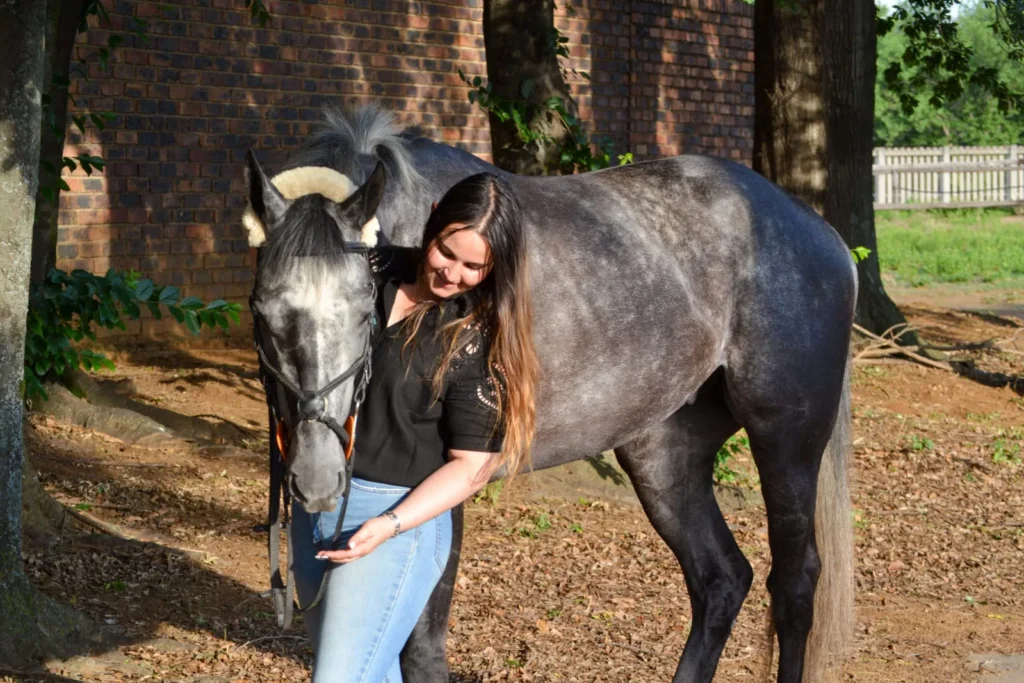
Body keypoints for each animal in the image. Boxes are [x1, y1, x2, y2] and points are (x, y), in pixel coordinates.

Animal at [242, 106, 856, 683]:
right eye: (262, 311)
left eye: (363, 308)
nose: (318, 477)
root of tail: (823, 236)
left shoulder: (443, 482)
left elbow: (421, 648)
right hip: (664, 454)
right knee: (721, 579)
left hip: (787, 443)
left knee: (794, 584)